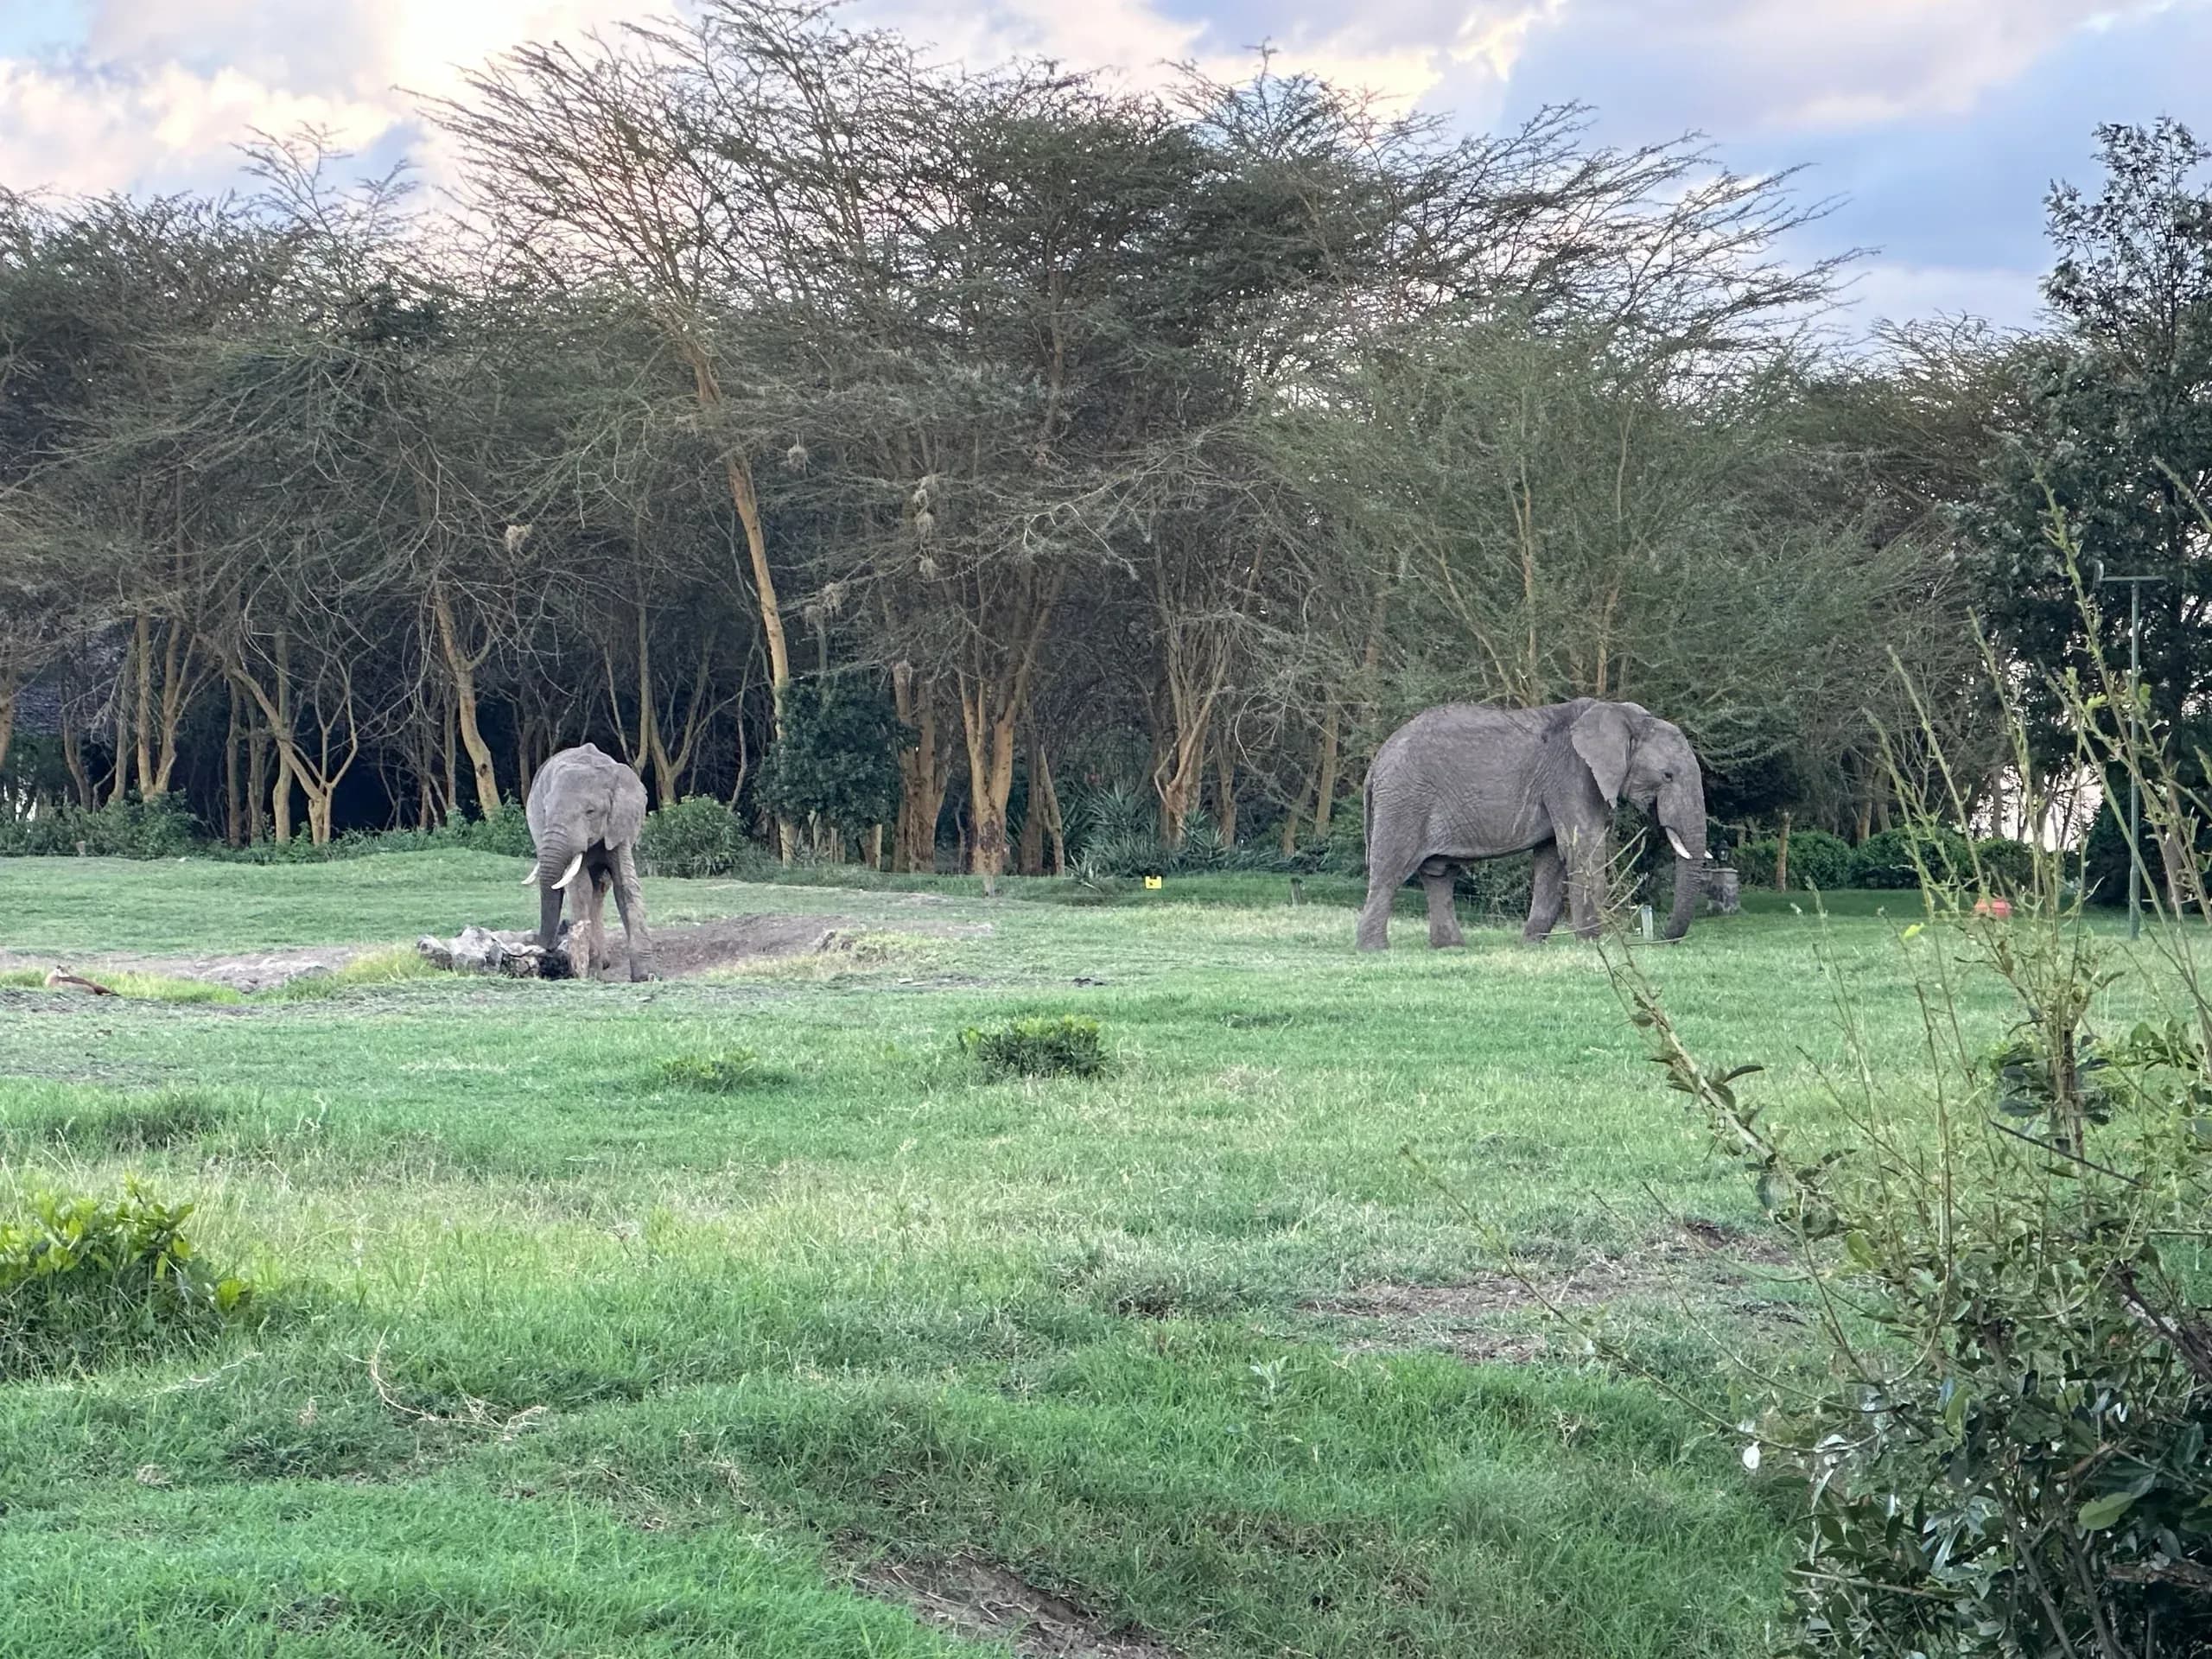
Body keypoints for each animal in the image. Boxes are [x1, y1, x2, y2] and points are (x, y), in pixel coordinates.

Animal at [521, 743, 656, 981]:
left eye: (590, 811)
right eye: (545, 810)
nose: (541, 944)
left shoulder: (619, 825)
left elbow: (626, 884)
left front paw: (645, 976)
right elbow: (580, 887)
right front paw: (591, 973)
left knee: (602, 886)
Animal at [1355, 698, 1710, 951]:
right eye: (1668, 776)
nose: (1663, 937)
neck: (1623, 715)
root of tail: (1376, 764)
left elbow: (1552, 857)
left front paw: (1531, 944)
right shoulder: (1573, 775)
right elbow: (1583, 848)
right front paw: (1595, 944)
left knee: (1439, 874)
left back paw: (1451, 948)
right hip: (1405, 801)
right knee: (1391, 871)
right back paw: (1374, 950)